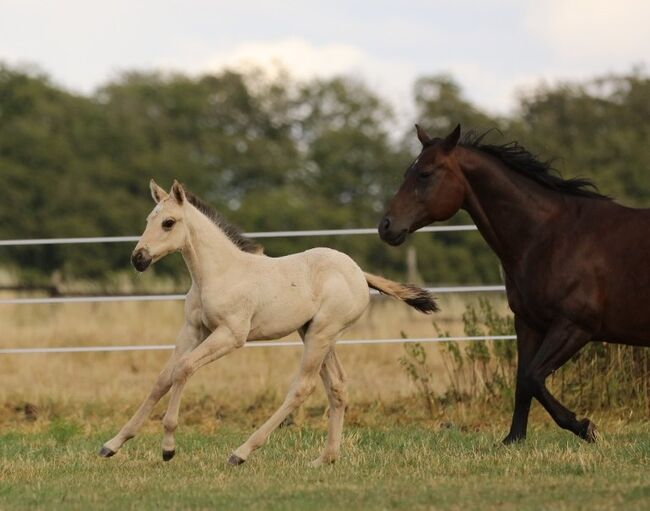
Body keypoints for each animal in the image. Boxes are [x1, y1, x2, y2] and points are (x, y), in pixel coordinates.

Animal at [100, 180, 436, 468]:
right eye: (149, 219)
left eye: (168, 222)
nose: (138, 258)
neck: (220, 273)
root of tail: (359, 273)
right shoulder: (193, 330)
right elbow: (162, 379)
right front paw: (113, 444)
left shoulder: (230, 335)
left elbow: (183, 370)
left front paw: (168, 447)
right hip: (315, 333)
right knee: (338, 387)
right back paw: (324, 459)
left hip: (321, 334)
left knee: (302, 388)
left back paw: (241, 453)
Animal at [378, 125, 648, 444]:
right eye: (408, 172)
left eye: (425, 173)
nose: (386, 226)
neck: (550, 236)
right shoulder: (528, 323)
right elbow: (523, 380)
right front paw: (513, 439)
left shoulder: (575, 325)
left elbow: (533, 377)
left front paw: (585, 427)